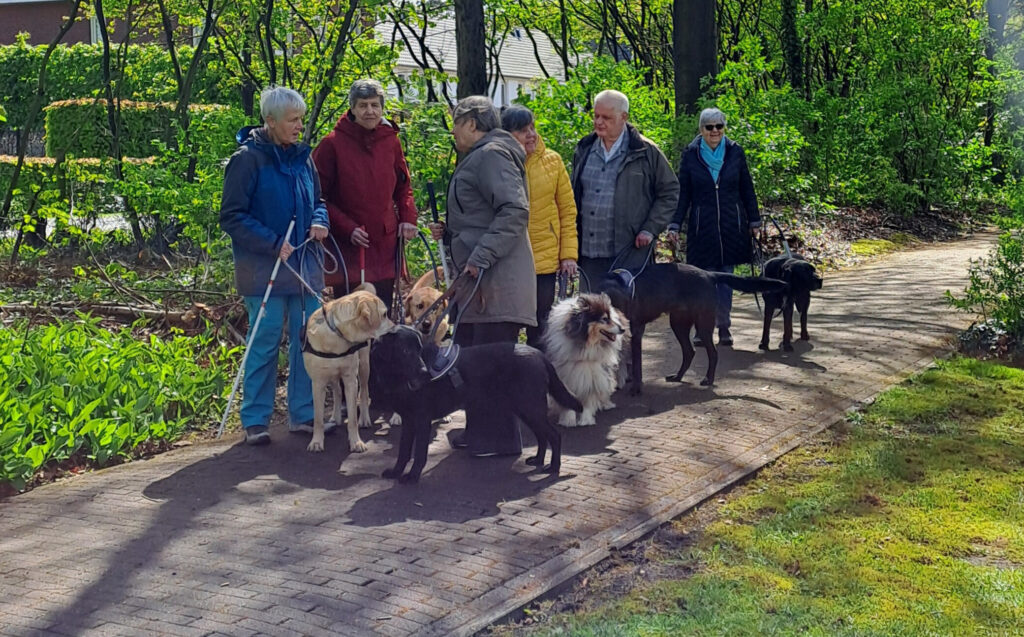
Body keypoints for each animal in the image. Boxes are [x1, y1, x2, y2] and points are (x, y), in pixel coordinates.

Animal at [301, 284, 389, 454]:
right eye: (385, 314)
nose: (395, 326)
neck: (336, 335)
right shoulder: (318, 383)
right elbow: (318, 419)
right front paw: (316, 441)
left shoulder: (350, 380)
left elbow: (353, 418)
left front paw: (356, 442)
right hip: (333, 375)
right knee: (337, 391)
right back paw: (335, 416)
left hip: (364, 366)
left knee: (364, 391)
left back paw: (364, 418)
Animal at [368, 329, 581, 483]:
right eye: (405, 351)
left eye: (419, 352)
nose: (424, 373)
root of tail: (538, 353)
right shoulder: (409, 421)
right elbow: (403, 452)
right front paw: (396, 472)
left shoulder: (421, 420)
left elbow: (419, 454)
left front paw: (412, 477)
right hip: (525, 409)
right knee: (542, 436)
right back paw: (537, 460)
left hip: (531, 407)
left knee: (554, 435)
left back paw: (553, 467)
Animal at [540, 294, 626, 430]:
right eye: (604, 319)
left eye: (609, 318)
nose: (623, 329)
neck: (586, 344)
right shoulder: (565, 376)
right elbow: (568, 397)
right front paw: (569, 420)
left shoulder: (593, 375)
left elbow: (589, 398)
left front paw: (586, 420)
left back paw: (606, 404)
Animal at [598, 262, 786, 391]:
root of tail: (709, 274)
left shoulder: (636, 333)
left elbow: (636, 364)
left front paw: (636, 388)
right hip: (679, 323)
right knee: (689, 351)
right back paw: (678, 376)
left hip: (703, 323)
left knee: (712, 353)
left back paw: (708, 379)